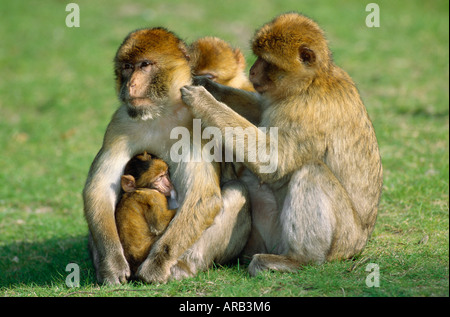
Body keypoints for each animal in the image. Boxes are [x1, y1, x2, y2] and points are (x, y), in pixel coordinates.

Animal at [83, 27, 250, 284]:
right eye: (127, 67)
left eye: (145, 65)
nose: (130, 85)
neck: (160, 112)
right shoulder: (120, 121)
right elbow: (99, 189)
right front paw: (112, 264)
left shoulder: (196, 121)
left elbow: (202, 196)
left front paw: (157, 264)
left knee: (237, 191)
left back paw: (181, 267)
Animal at [180, 12, 384, 274]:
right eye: (257, 56)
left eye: (266, 61)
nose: (252, 71)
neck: (310, 82)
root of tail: (360, 245)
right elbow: (260, 110)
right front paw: (208, 87)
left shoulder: (305, 111)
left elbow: (275, 160)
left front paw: (203, 100)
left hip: (344, 239)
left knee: (310, 170)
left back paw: (298, 260)